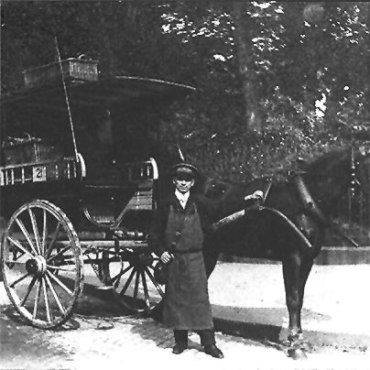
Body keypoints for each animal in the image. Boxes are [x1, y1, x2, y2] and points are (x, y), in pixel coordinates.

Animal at [194, 146, 370, 356]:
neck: (305, 203)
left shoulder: (307, 259)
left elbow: (299, 298)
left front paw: (299, 338)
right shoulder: (292, 257)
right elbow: (292, 299)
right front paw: (294, 344)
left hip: (211, 250)